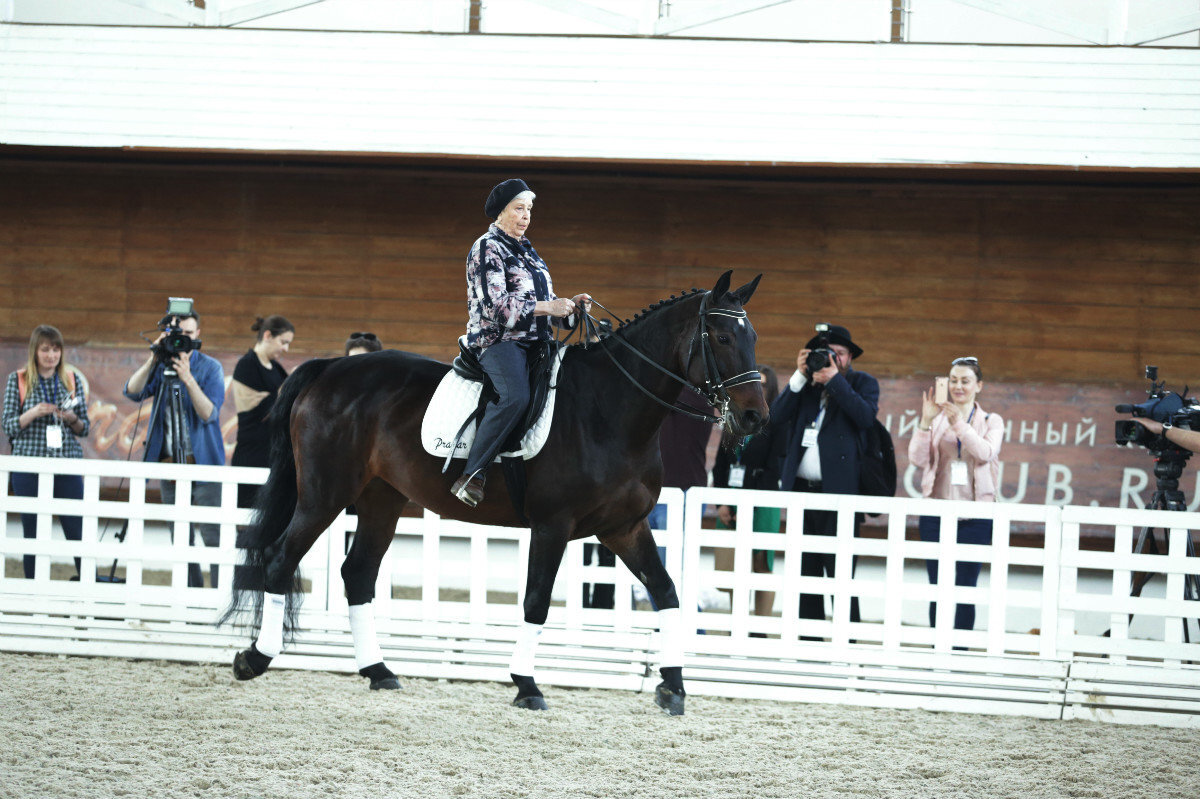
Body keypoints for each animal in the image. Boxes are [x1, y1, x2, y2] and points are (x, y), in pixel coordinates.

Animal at [223, 271, 768, 710]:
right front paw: (526, 686)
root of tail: (329, 368)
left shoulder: (625, 527)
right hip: (325, 494)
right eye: (721, 336)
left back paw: (379, 672)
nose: (755, 417)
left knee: (357, 574)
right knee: (279, 558)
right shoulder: (552, 526)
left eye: (753, 336)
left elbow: (667, 592)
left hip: (381, 500)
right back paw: (254, 658)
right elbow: (536, 602)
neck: (607, 410)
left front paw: (673, 686)